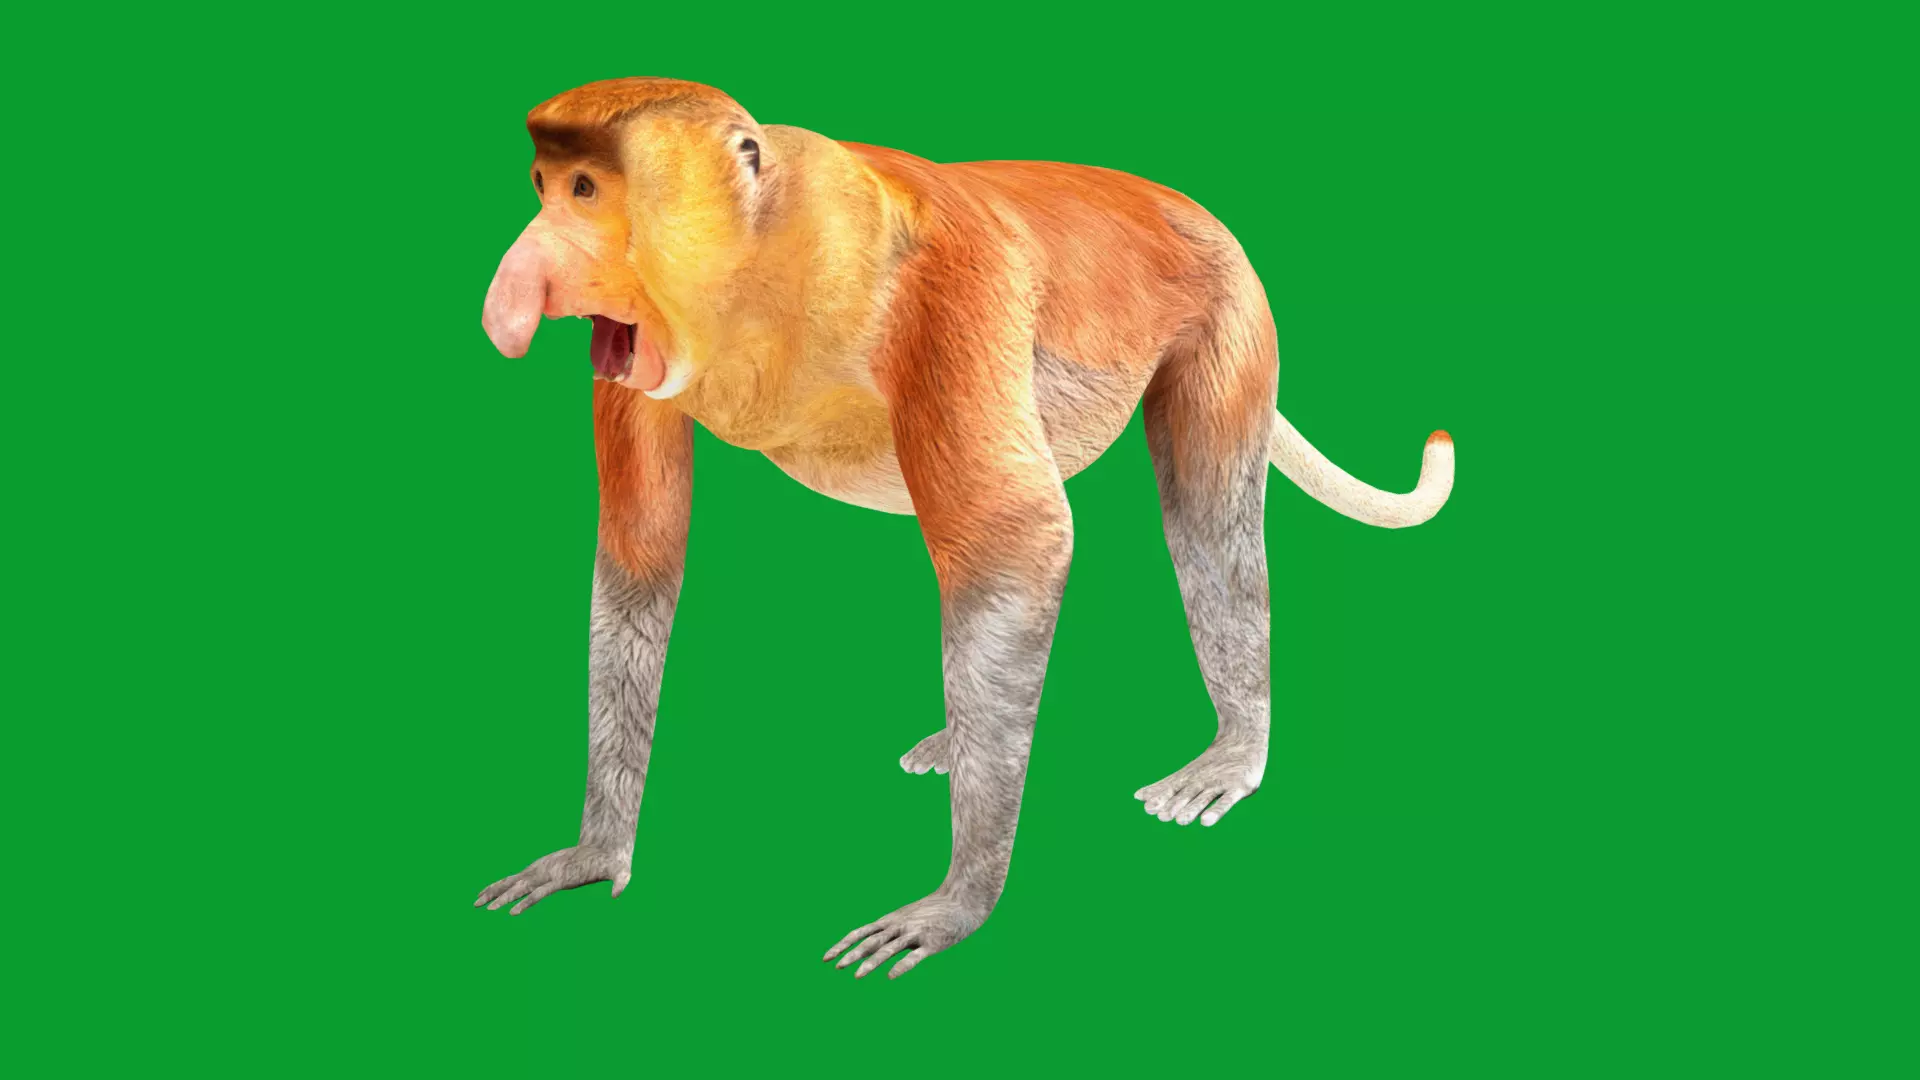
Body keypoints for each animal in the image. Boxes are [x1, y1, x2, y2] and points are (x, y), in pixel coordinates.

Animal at [473, 78, 1455, 980]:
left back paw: (1230, 750)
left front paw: (956, 904)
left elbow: (1019, 541)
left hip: (1231, 319)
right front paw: (595, 853)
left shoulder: (947, 292)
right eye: (543, 184)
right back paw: (963, 737)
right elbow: (640, 560)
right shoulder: (633, 349)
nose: (515, 291)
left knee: (1205, 514)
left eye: (586, 190)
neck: (772, 244)